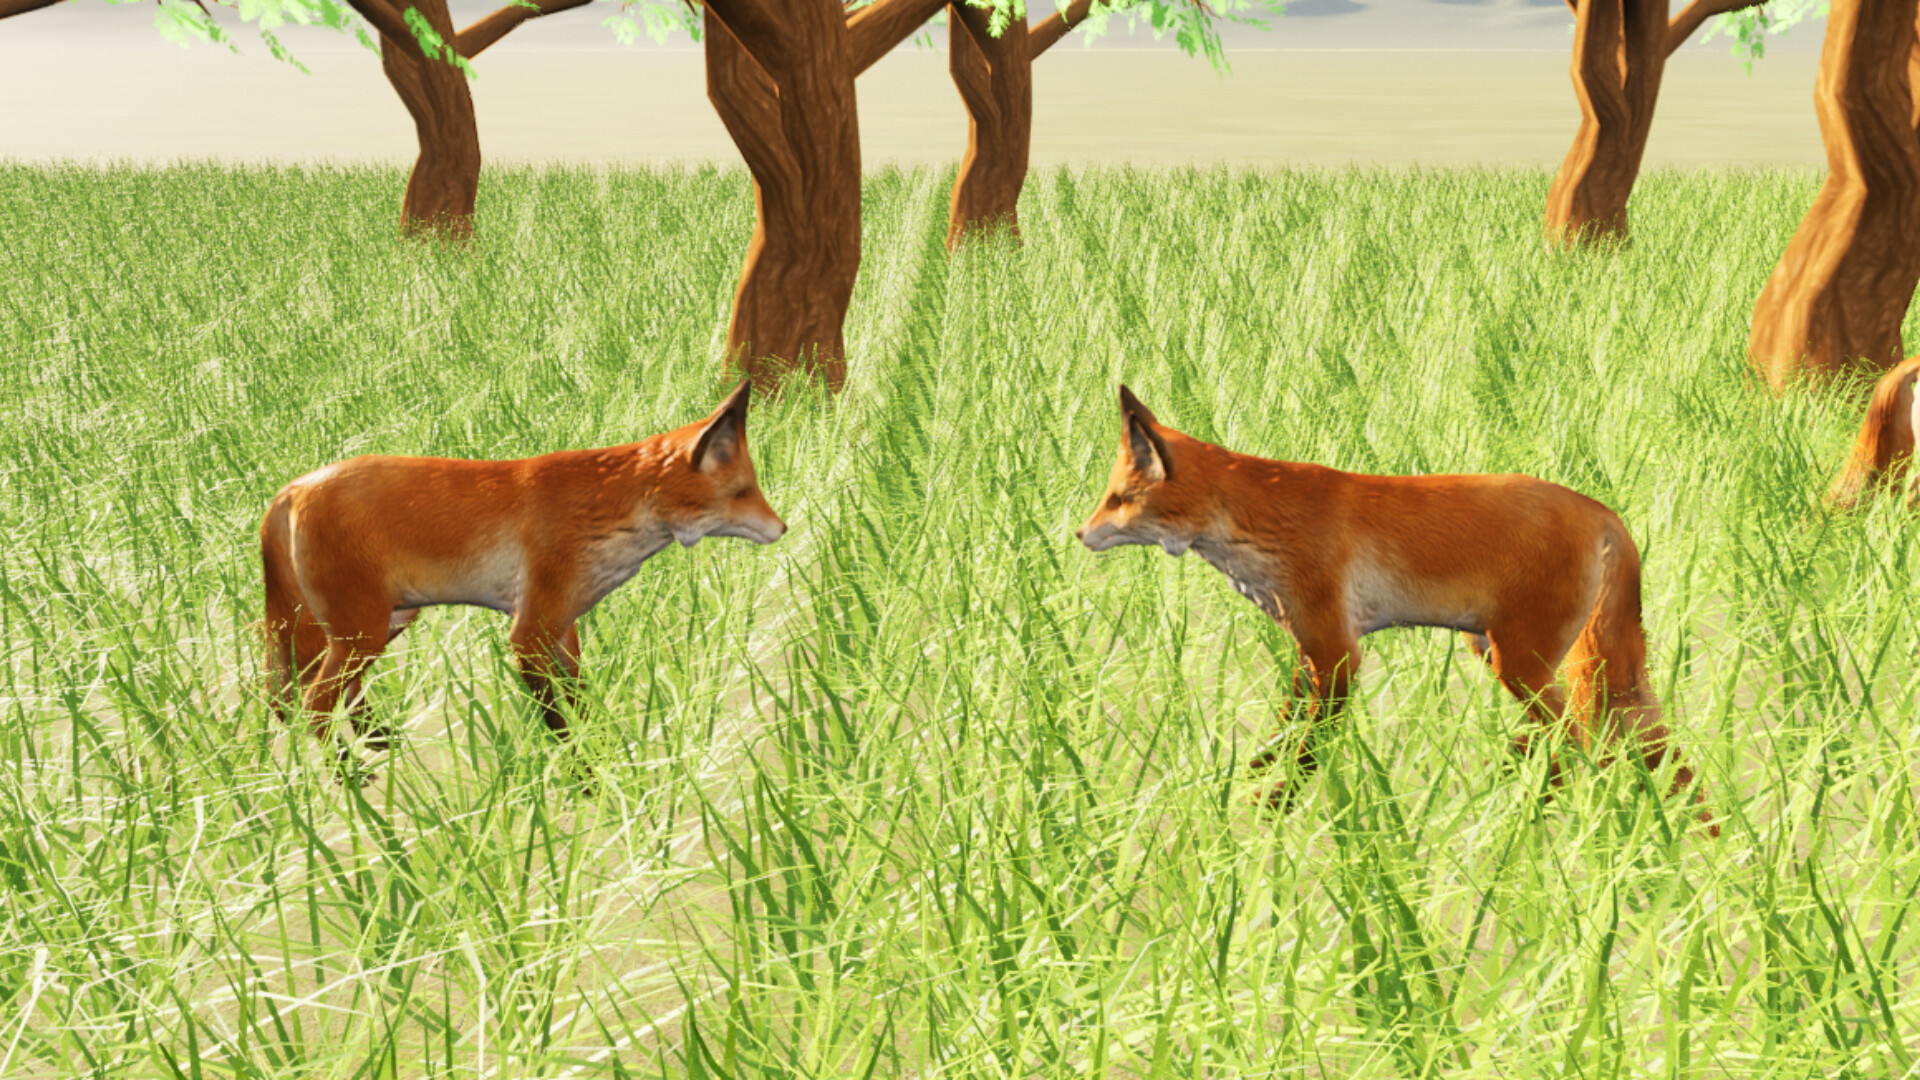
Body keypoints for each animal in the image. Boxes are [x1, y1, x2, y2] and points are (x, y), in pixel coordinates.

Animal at [260, 380, 786, 759]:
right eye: (742, 492)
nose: (782, 527)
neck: (605, 514)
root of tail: (292, 488)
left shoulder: (564, 628)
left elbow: (582, 703)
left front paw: (611, 755)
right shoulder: (529, 635)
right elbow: (560, 726)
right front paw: (588, 783)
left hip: (380, 623)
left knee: (323, 691)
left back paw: (379, 746)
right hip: (361, 630)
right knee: (313, 703)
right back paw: (350, 781)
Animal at [1076, 385, 1713, 833]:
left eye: (1118, 500)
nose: (1079, 534)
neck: (1261, 523)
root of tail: (1603, 511)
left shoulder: (1337, 652)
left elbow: (1309, 749)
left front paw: (1267, 811)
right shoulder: (1307, 649)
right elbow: (1285, 726)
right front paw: (1242, 782)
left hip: (1521, 664)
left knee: (1573, 739)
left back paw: (1521, 816)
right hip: (1511, 654)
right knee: (1609, 745)